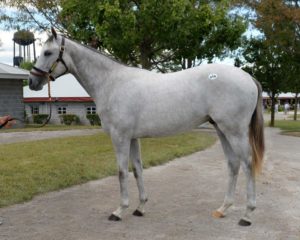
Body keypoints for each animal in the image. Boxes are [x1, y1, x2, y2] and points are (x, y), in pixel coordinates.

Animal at [28, 29, 264, 226]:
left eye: (48, 52)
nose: (32, 82)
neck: (112, 82)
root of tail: (248, 77)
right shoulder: (133, 138)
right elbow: (137, 170)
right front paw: (140, 207)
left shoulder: (120, 137)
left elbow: (121, 172)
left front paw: (119, 211)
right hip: (222, 130)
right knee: (233, 164)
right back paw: (223, 209)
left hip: (235, 131)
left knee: (247, 164)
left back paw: (247, 215)